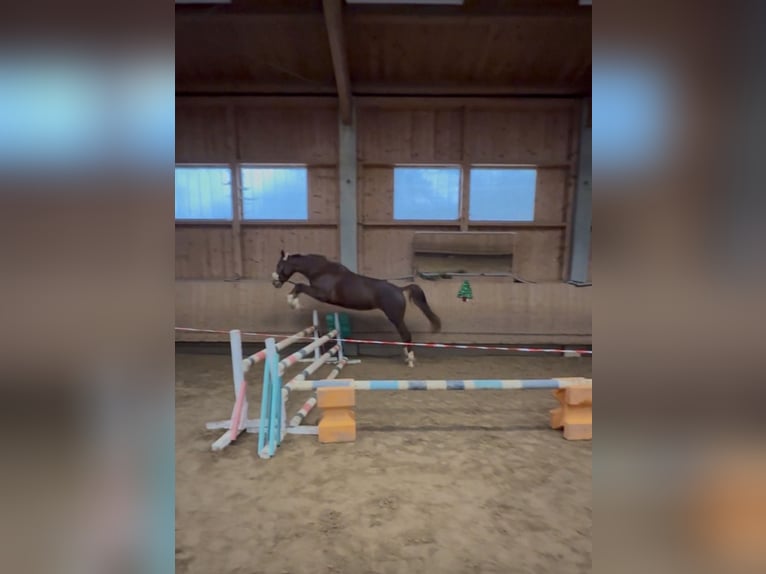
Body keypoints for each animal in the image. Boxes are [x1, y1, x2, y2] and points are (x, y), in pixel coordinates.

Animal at [271, 250, 441, 367]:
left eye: (279, 265)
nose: (275, 283)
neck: (322, 270)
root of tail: (399, 290)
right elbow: (299, 287)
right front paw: (293, 301)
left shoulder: (320, 294)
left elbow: (299, 286)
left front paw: (293, 303)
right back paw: (407, 357)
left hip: (396, 318)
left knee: (406, 335)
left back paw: (410, 360)